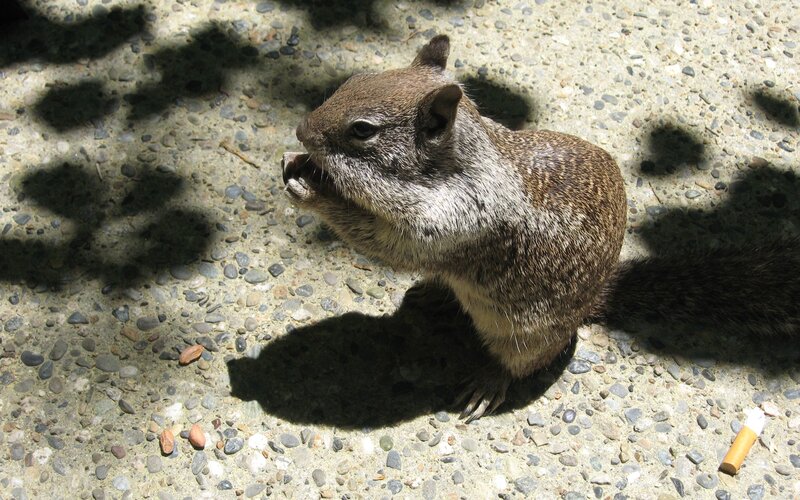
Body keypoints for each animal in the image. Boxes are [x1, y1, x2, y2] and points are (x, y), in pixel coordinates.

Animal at [281, 35, 799, 422]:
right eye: (353, 80)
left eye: (363, 130)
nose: (301, 130)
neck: (461, 166)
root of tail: (594, 300)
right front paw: (296, 162)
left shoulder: (451, 226)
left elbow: (385, 244)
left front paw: (310, 188)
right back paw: (435, 295)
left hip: (525, 333)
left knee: (521, 364)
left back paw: (488, 382)